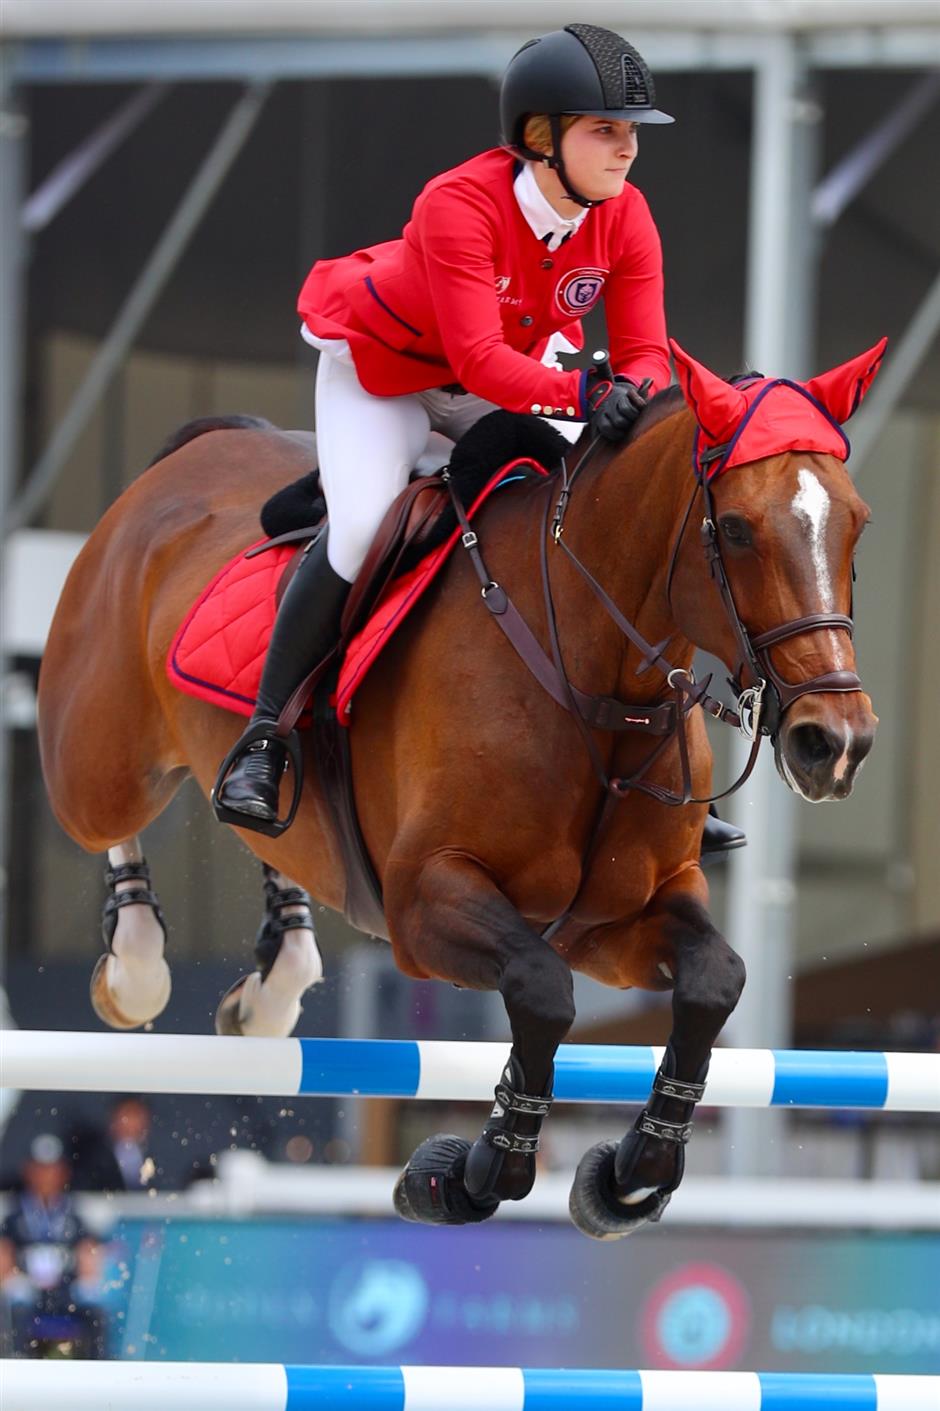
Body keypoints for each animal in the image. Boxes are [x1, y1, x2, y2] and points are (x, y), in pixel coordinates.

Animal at [34, 338, 880, 1236]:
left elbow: (715, 979)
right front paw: (470, 1172)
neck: (590, 674)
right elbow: (540, 990)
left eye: (858, 524)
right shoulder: (425, 900)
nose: (836, 743)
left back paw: (275, 970)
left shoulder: (614, 923)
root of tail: (195, 453)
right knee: (106, 826)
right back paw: (136, 963)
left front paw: (632, 1175)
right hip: (99, 764)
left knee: (267, 833)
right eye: (739, 529)